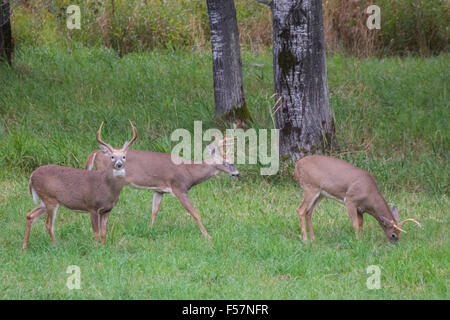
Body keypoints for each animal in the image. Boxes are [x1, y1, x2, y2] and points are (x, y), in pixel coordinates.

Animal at [22, 121, 137, 249]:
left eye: (124, 157)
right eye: (112, 157)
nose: (119, 164)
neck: (108, 188)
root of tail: (32, 176)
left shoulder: (107, 210)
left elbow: (104, 232)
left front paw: (104, 247)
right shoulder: (92, 206)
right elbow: (96, 233)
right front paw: (96, 249)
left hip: (44, 200)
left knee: (29, 215)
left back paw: (24, 247)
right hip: (49, 198)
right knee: (48, 224)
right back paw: (56, 246)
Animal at [85, 135, 239, 238]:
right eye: (226, 162)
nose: (237, 173)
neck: (189, 171)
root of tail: (95, 153)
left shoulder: (159, 190)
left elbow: (155, 210)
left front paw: (150, 229)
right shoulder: (179, 187)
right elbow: (194, 212)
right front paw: (207, 235)